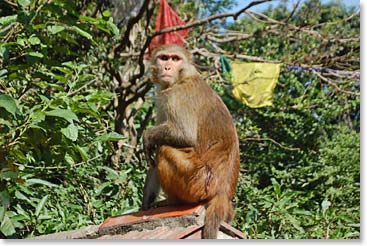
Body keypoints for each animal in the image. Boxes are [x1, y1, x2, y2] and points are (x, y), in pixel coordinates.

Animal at [142, 43, 242, 238]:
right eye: (164, 58)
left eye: (175, 59)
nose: (167, 68)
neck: (183, 76)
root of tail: (222, 193)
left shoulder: (176, 96)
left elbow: (184, 134)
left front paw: (147, 135)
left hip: (196, 183)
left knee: (164, 150)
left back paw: (172, 202)